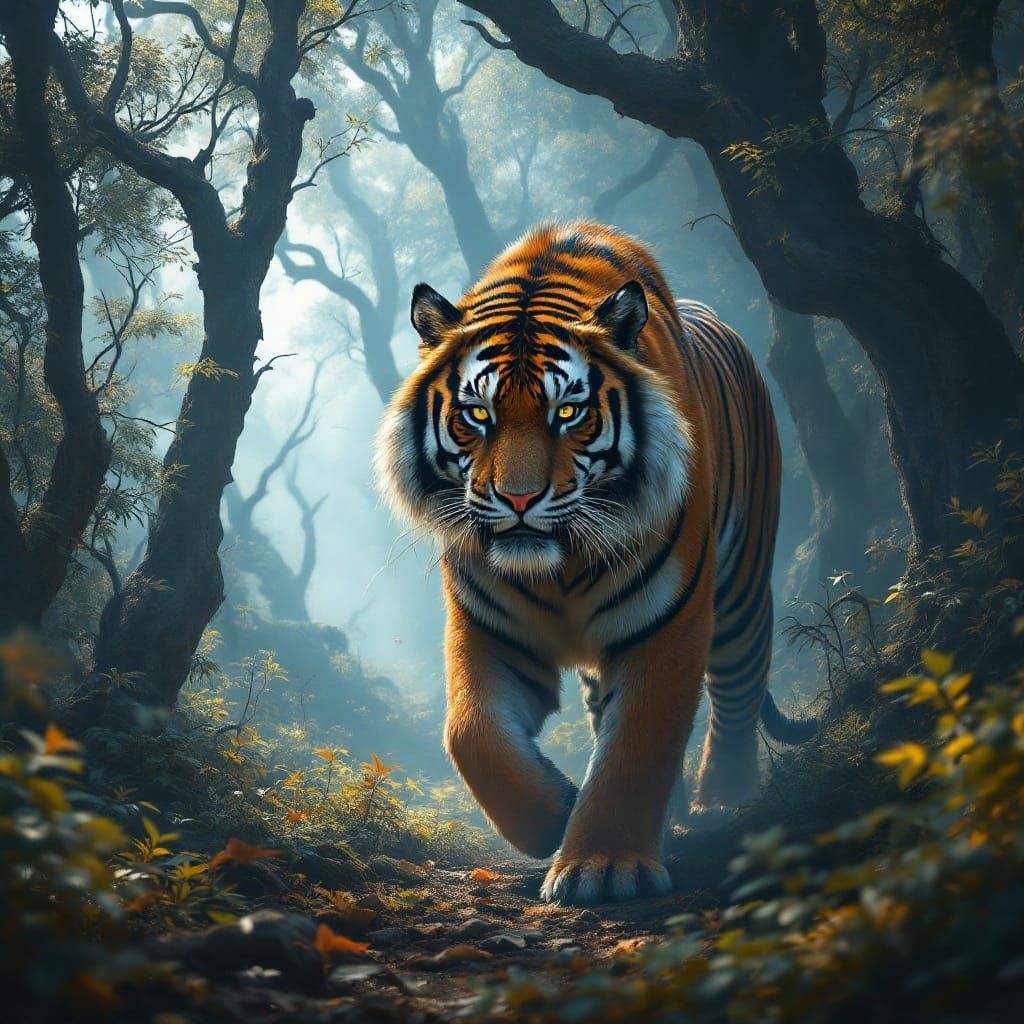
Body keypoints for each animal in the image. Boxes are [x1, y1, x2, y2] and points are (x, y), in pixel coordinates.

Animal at [375, 221, 814, 906]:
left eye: (567, 412)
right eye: (478, 414)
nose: (519, 499)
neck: (559, 566)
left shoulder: (667, 621)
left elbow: (638, 743)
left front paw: (604, 867)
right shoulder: (488, 626)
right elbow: (472, 734)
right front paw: (554, 814)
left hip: (742, 589)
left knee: (740, 690)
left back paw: (724, 802)